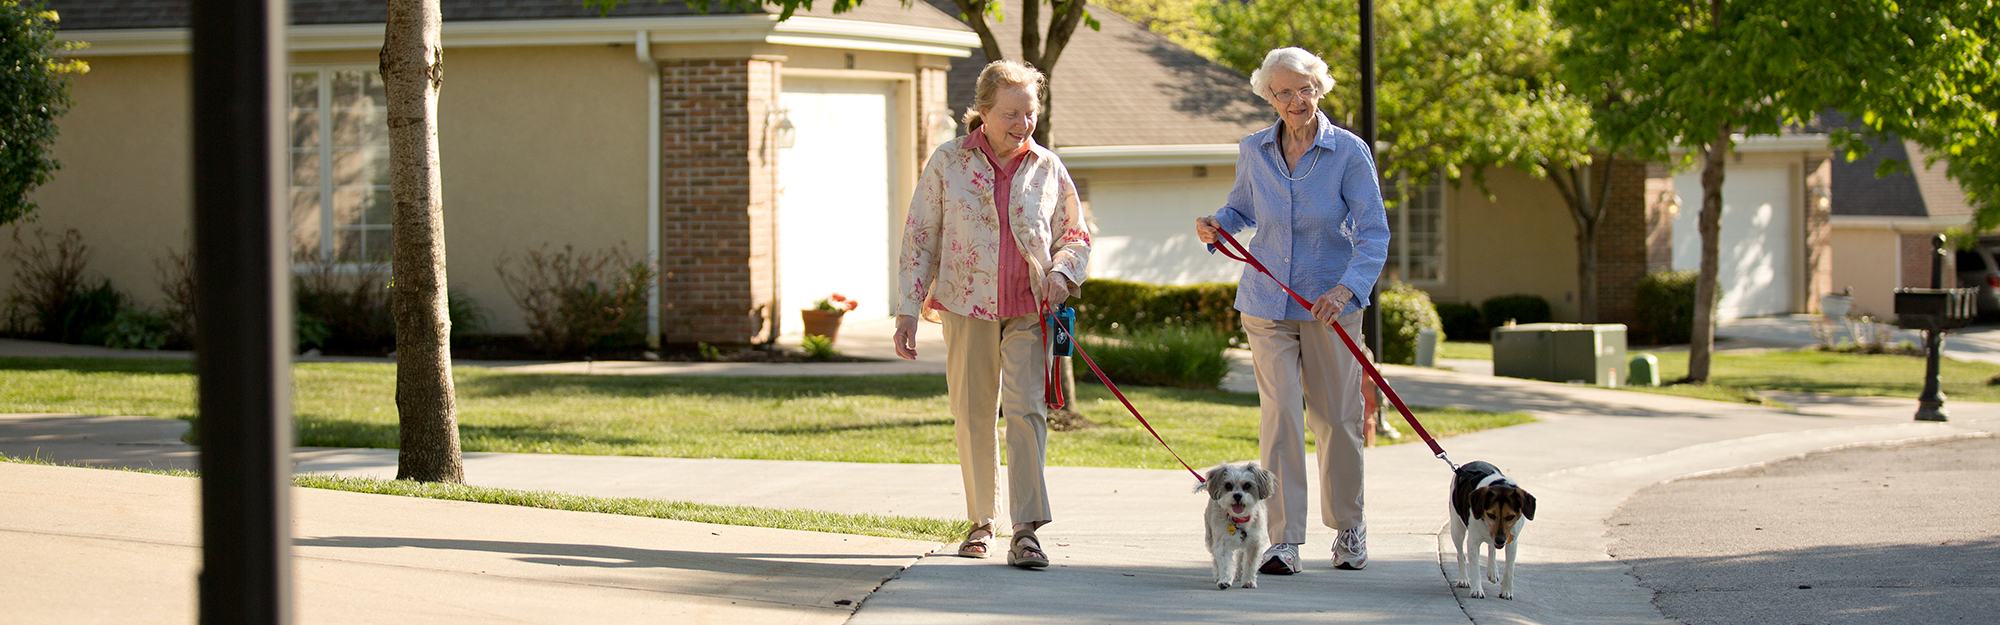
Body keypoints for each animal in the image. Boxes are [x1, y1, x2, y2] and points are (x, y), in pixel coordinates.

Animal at [1192, 460, 1272, 588]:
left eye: (1247, 485)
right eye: (1228, 485)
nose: (1237, 495)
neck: (1238, 520)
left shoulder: (1255, 542)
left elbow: (1250, 563)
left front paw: (1248, 580)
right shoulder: (1222, 540)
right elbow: (1224, 563)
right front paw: (1224, 580)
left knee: (1240, 557)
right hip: (1210, 538)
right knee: (1215, 559)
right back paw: (1218, 575)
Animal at [1456, 458, 1528, 600]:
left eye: (1510, 516)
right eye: (1490, 514)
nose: (1500, 540)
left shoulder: (1512, 542)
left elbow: (1509, 568)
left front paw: (1506, 591)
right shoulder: (1473, 542)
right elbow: (1475, 567)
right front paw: (1477, 590)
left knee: (1491, 549)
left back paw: (1492, 570)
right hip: (1456, 529)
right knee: (1461, 555)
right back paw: (1464, 579)